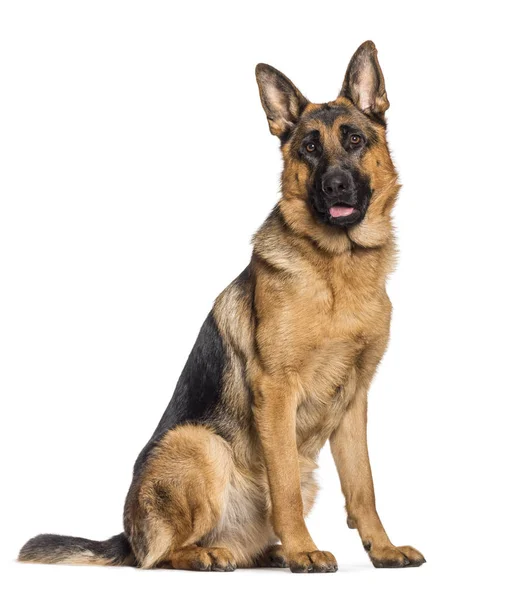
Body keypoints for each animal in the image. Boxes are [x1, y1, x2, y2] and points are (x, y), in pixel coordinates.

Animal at [18, 41, 424, 572]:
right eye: (310, 148)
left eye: (354, 139)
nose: (335, 185)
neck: (338, 267)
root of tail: (127, 537)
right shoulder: (276, 391)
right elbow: (284, 488)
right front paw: (305, 551)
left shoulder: (355, 400)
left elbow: (364, 487)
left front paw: (383, 547)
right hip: (201, 443)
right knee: (161, 555)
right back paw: (213, 554)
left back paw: (268, 551)